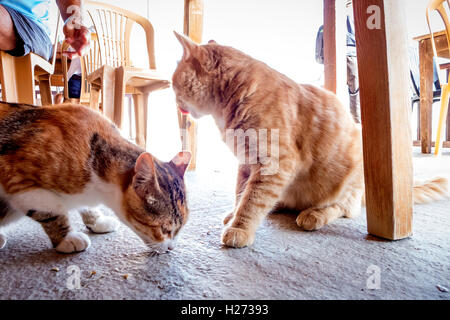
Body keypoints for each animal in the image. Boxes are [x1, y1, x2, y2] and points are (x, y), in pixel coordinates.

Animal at [0, 101, 190, 254]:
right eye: (164, 229)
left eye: (180, 229)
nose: (171, 247)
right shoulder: (17, 181)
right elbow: (52, 210)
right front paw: (67, 238)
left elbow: (87, 207)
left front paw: (97, 220)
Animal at [171, 31, 448, 248]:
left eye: (175, 85)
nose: (175, 102)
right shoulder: (247, 163)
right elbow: (242, 193)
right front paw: (234, 214)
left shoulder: (274, 164)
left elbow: (252, 200)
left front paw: (240, 228)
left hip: (351, 175)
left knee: (345, 208)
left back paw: (315, 214)